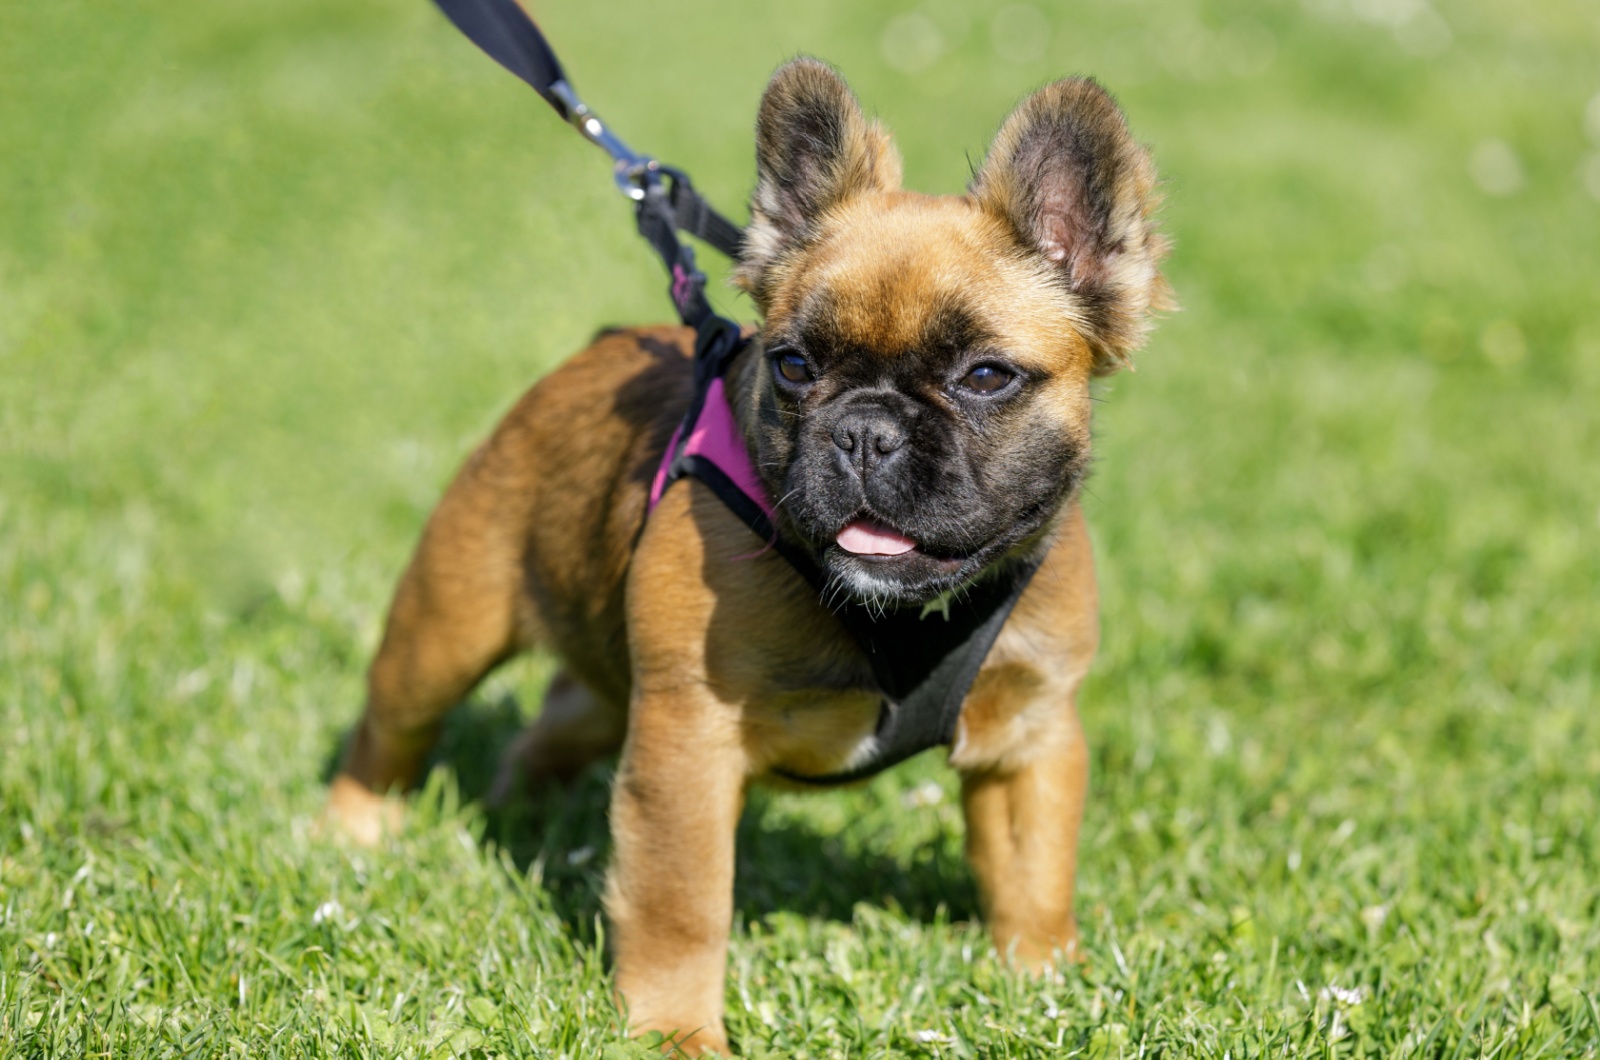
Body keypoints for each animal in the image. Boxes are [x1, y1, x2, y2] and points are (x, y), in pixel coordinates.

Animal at [328, 56, 1177, 1056]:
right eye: (795, 366)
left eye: (985, 377)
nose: (865, 431)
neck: (896, 611)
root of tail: (595, 353)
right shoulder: (686, 749)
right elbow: (681, 905)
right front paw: (673, 1032)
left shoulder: (1031, 736)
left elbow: (1032, 872)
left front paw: (1042, 981)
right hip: (446, 628)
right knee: (391, 728)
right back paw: (353, 831)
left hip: (608, 683)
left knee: (556, 722)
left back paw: (522, 811)